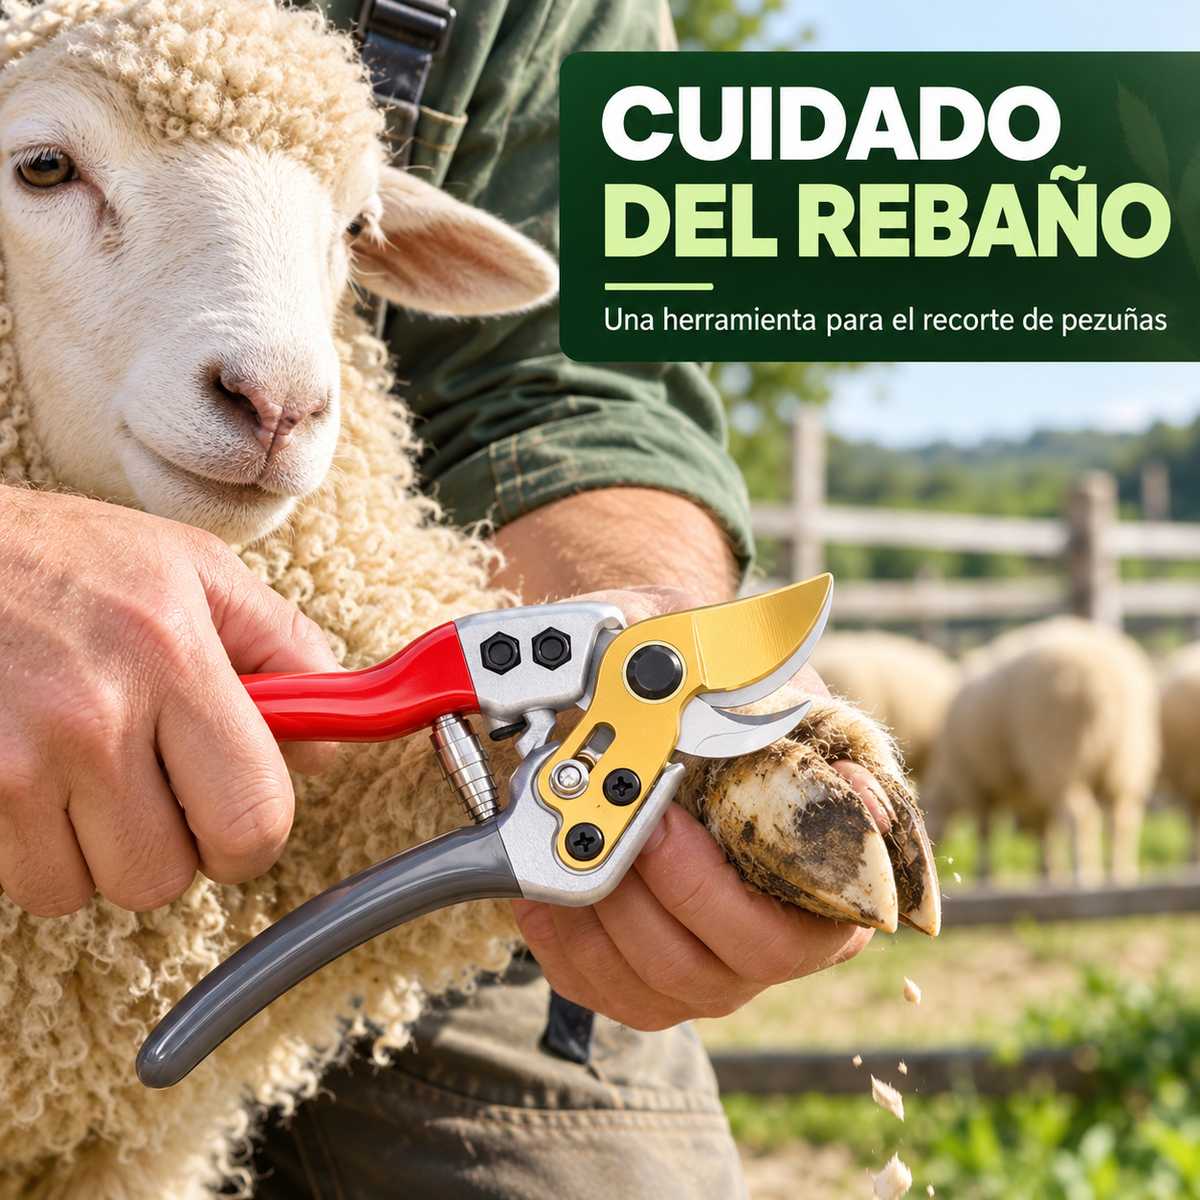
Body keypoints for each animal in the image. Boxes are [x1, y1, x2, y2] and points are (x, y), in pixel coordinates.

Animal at [924, 616, 1159, 886]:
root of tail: (1104, 686)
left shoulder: (976, 785)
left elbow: (985, 830)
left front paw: (985, 874)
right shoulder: (1029, 794)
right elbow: (1045, 831)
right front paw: (1048, 871)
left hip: (1059, 752)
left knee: (1080, 817)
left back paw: (1084, 875)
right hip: (1126, 760)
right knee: (1121, 820)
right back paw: (1120, 874)